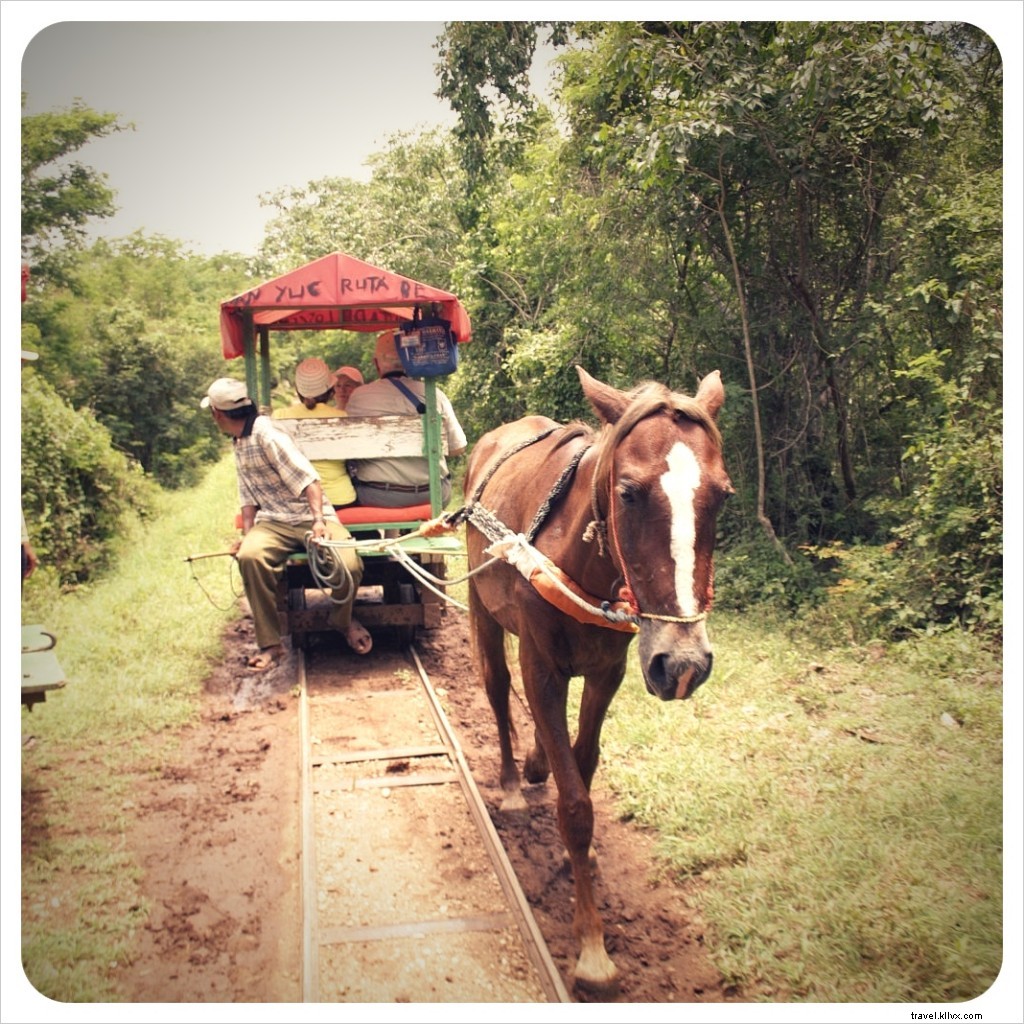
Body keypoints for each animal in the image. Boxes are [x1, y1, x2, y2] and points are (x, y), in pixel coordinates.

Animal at [463, 365, 731, 994]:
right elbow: (576, 805)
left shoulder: (608, 672)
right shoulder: (542, 669)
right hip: (483, 613)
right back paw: (512, 784)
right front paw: (592, 948)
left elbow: (582, 765)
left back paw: (535, 764)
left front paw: (575, 857)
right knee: (496, 690)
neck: (578, 558)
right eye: (629, 492)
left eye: (722, 495)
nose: (683, 664)